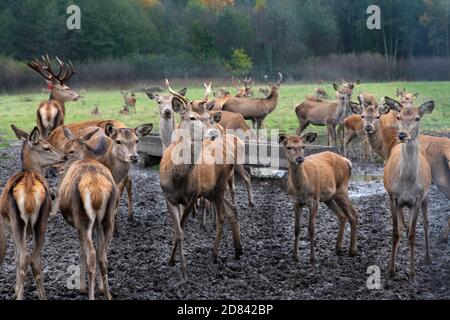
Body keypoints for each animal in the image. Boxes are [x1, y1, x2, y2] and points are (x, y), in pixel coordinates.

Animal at [0, 125, 67, 300]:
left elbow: (16, 257)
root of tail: (30, 188)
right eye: (46, 147)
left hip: (17, 221)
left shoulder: (10, 227)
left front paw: (16, 289)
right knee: (35, 258)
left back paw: (20, 295)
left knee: (24, 256)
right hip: (42, 220)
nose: (64, 156)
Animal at [57, 128, 118, 300]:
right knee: (103, 256)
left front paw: (82, 287)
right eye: (63, 147)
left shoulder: (78, 224)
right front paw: (101, 288)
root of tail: (97, 191)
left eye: (70, 151)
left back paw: (89, 293)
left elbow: (81, 252)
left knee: (91, 255)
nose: (60, 168)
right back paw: (108, 294)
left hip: (83, 219)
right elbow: (100, 251)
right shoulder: (98, 225)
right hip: (108, 219)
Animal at [278, 133, 358, 264]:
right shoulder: (295, 201)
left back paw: (352, 251)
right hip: (329, 197)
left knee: (354, 214)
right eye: (288, 147)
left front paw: (312, 258)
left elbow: (311, 228)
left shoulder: (314, 200)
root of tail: (347, 161)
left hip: (342, 189)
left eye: (303, 146)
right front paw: (295, 256)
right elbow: (296, 228)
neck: (301, 188)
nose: (299, 159)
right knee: (342, 215)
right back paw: (338, 248)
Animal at [382, 97, 434, 280]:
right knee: (401, 226)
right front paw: (390, 269)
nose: (402, 134)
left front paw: (412, 272)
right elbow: (395, 232)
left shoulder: (417, 199)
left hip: (427, 196)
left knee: (426, 223)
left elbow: (412, 235)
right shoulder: (393, 197)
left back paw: (428, 257)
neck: (406, 184)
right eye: (398, 116)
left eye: (417, 118)